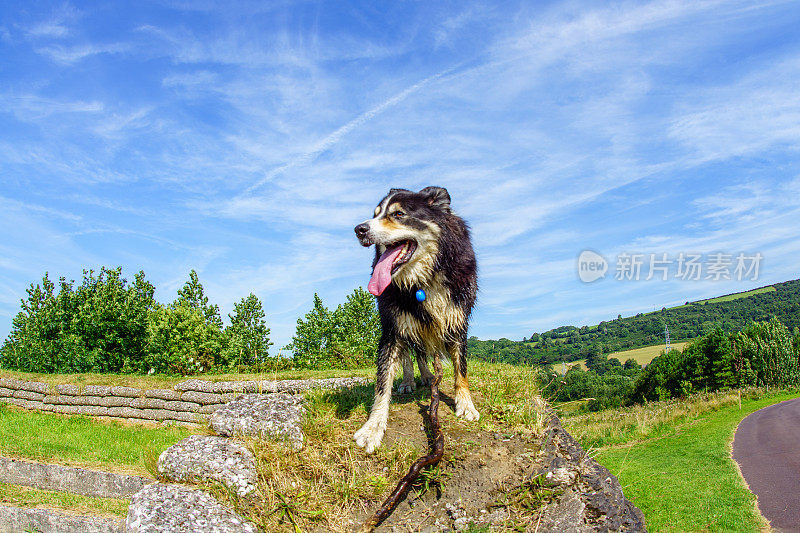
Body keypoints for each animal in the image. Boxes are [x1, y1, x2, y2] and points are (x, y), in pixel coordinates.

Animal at [354, 187, 478, 454]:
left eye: (398, 214)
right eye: (375, 214)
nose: (359, 229)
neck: (424, 278)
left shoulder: (457, 320)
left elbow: (461, 368)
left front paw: (466, 404)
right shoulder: (392, 327)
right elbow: (383, 381)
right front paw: (373, 427)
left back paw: (428, 377)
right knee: (409, 355)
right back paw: (410, 381)